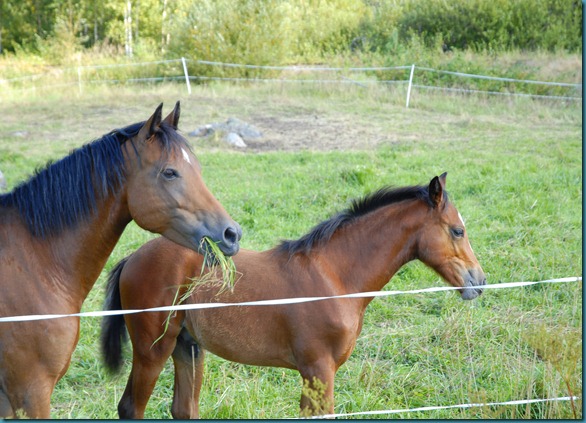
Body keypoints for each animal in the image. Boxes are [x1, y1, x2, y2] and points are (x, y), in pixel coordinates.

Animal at [101, 174, 484, 420]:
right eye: (457, 230)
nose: (478, 280)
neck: (335, 275)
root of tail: (132, 258)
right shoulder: (318, 369)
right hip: (153, 349)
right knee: (131, 407)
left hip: (188, 346)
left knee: (183, 409)